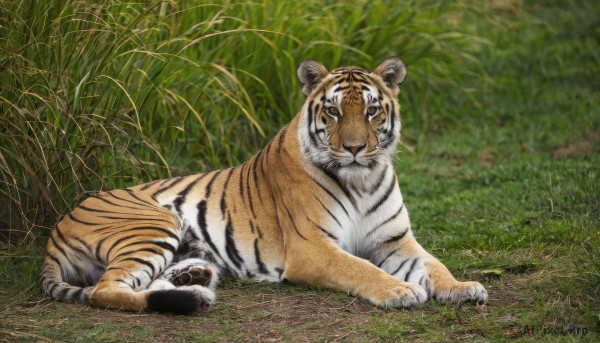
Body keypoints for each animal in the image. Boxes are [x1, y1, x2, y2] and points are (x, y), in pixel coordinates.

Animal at [39, 57, 488, 314]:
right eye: (333, 112)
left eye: (372, 111)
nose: (356, 148)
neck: (362, 178)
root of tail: (57, 225)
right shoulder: (313, 248)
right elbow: (360, 268)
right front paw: (400, 290)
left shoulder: (395, 240)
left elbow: (434, 265)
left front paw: (462, 288)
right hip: (151, 223)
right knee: (103, 291)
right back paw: (194, 297)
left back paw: (194, 280)